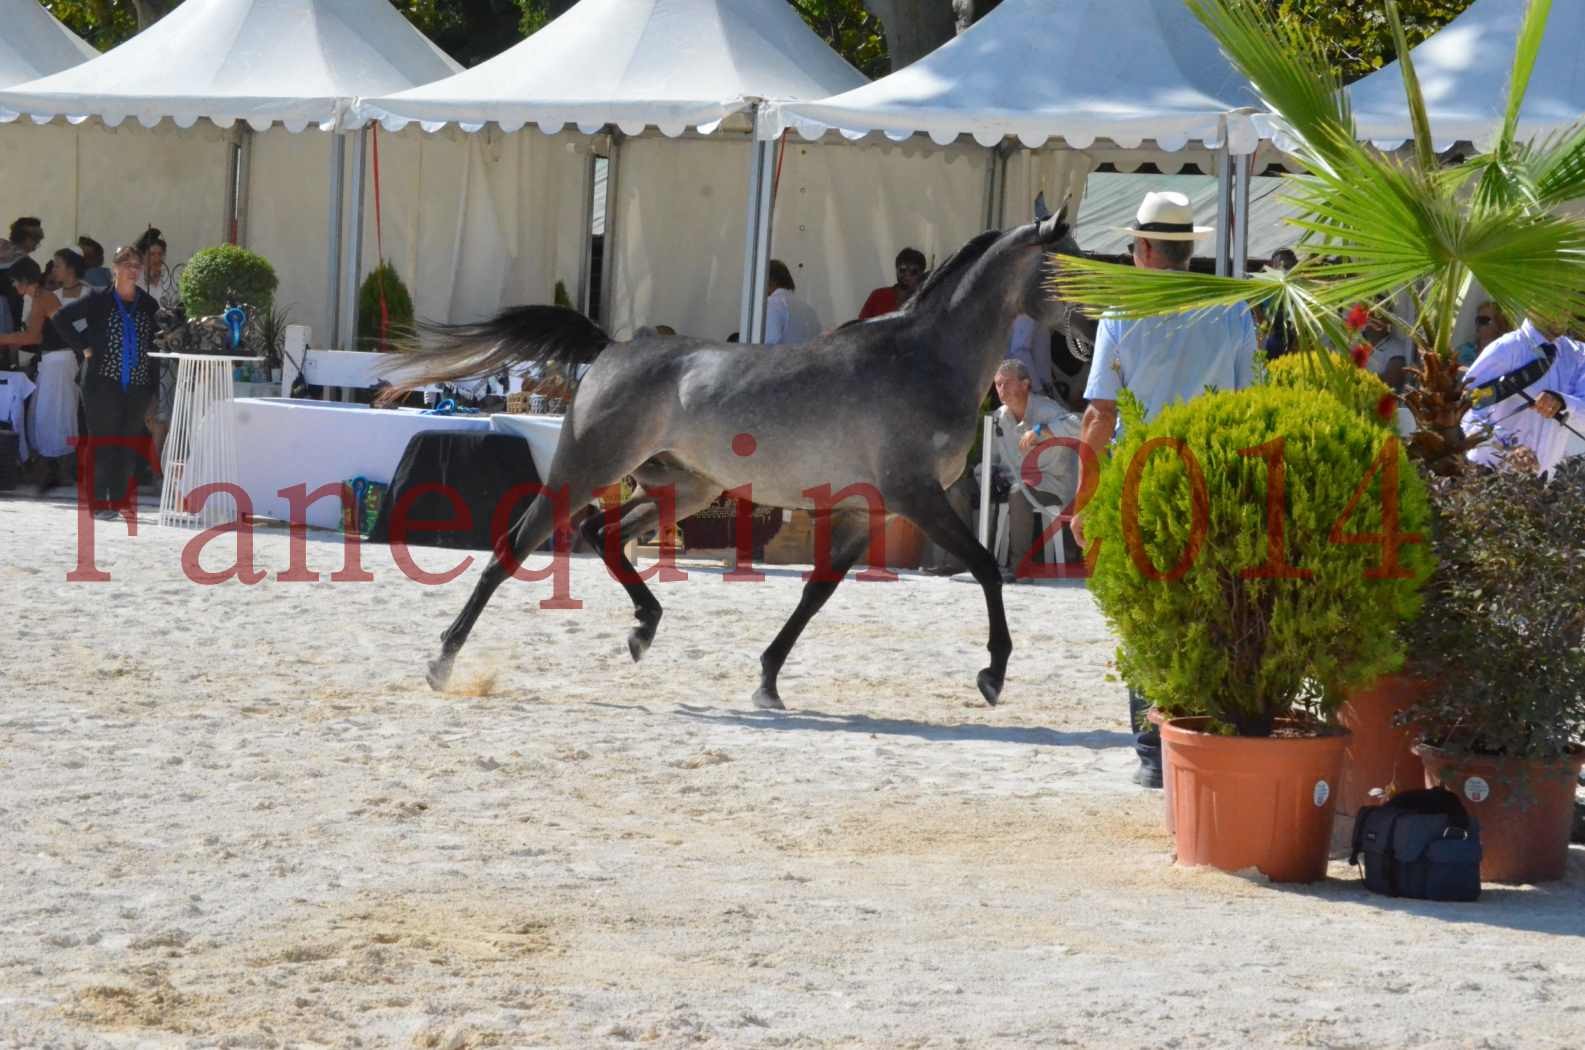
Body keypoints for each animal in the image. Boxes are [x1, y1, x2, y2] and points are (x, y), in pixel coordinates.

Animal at [389, 210, 1096, 710]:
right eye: (1068, 268)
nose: (1089, 335)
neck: (922, 360)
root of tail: (613, 349)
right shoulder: (914, 498)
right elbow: (985, 569)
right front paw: (993, 674)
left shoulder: (863, 511)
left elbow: (817, 592)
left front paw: (767, 681)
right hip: (583, 470)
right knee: (514, 547)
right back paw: (443, 661)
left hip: (684, 487)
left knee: (602, 533)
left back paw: (644, 629)